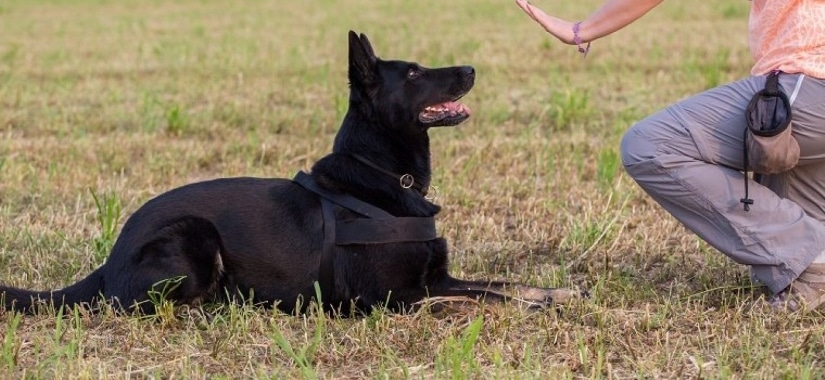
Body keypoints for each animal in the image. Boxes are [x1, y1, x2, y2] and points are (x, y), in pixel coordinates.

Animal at [0, 31, 576, 314]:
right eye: (413, 73)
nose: (472, 68)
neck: (385, 179)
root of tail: (112, 256)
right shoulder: (397, 299)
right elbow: (481, 300)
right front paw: (530, 311)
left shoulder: (437, 278)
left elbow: (500, 283)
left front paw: (553, 295)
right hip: (194, 238)